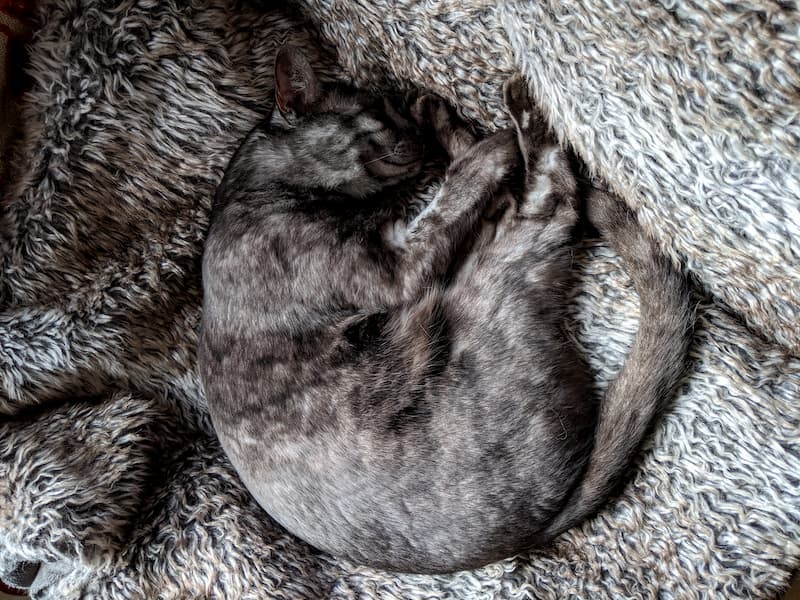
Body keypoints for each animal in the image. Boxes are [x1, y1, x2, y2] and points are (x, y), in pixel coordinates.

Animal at [197, 45, 692, 572]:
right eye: (379, 116)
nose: (413, 131)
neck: (253, 192)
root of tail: (535, 530)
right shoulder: (392, 267)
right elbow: (457, 190)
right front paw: (491, 145)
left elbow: (453, 196)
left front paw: (440, 121)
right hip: (487, 282)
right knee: (553, 199)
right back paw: (518, 113)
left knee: (520, 202)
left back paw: (453, 118)